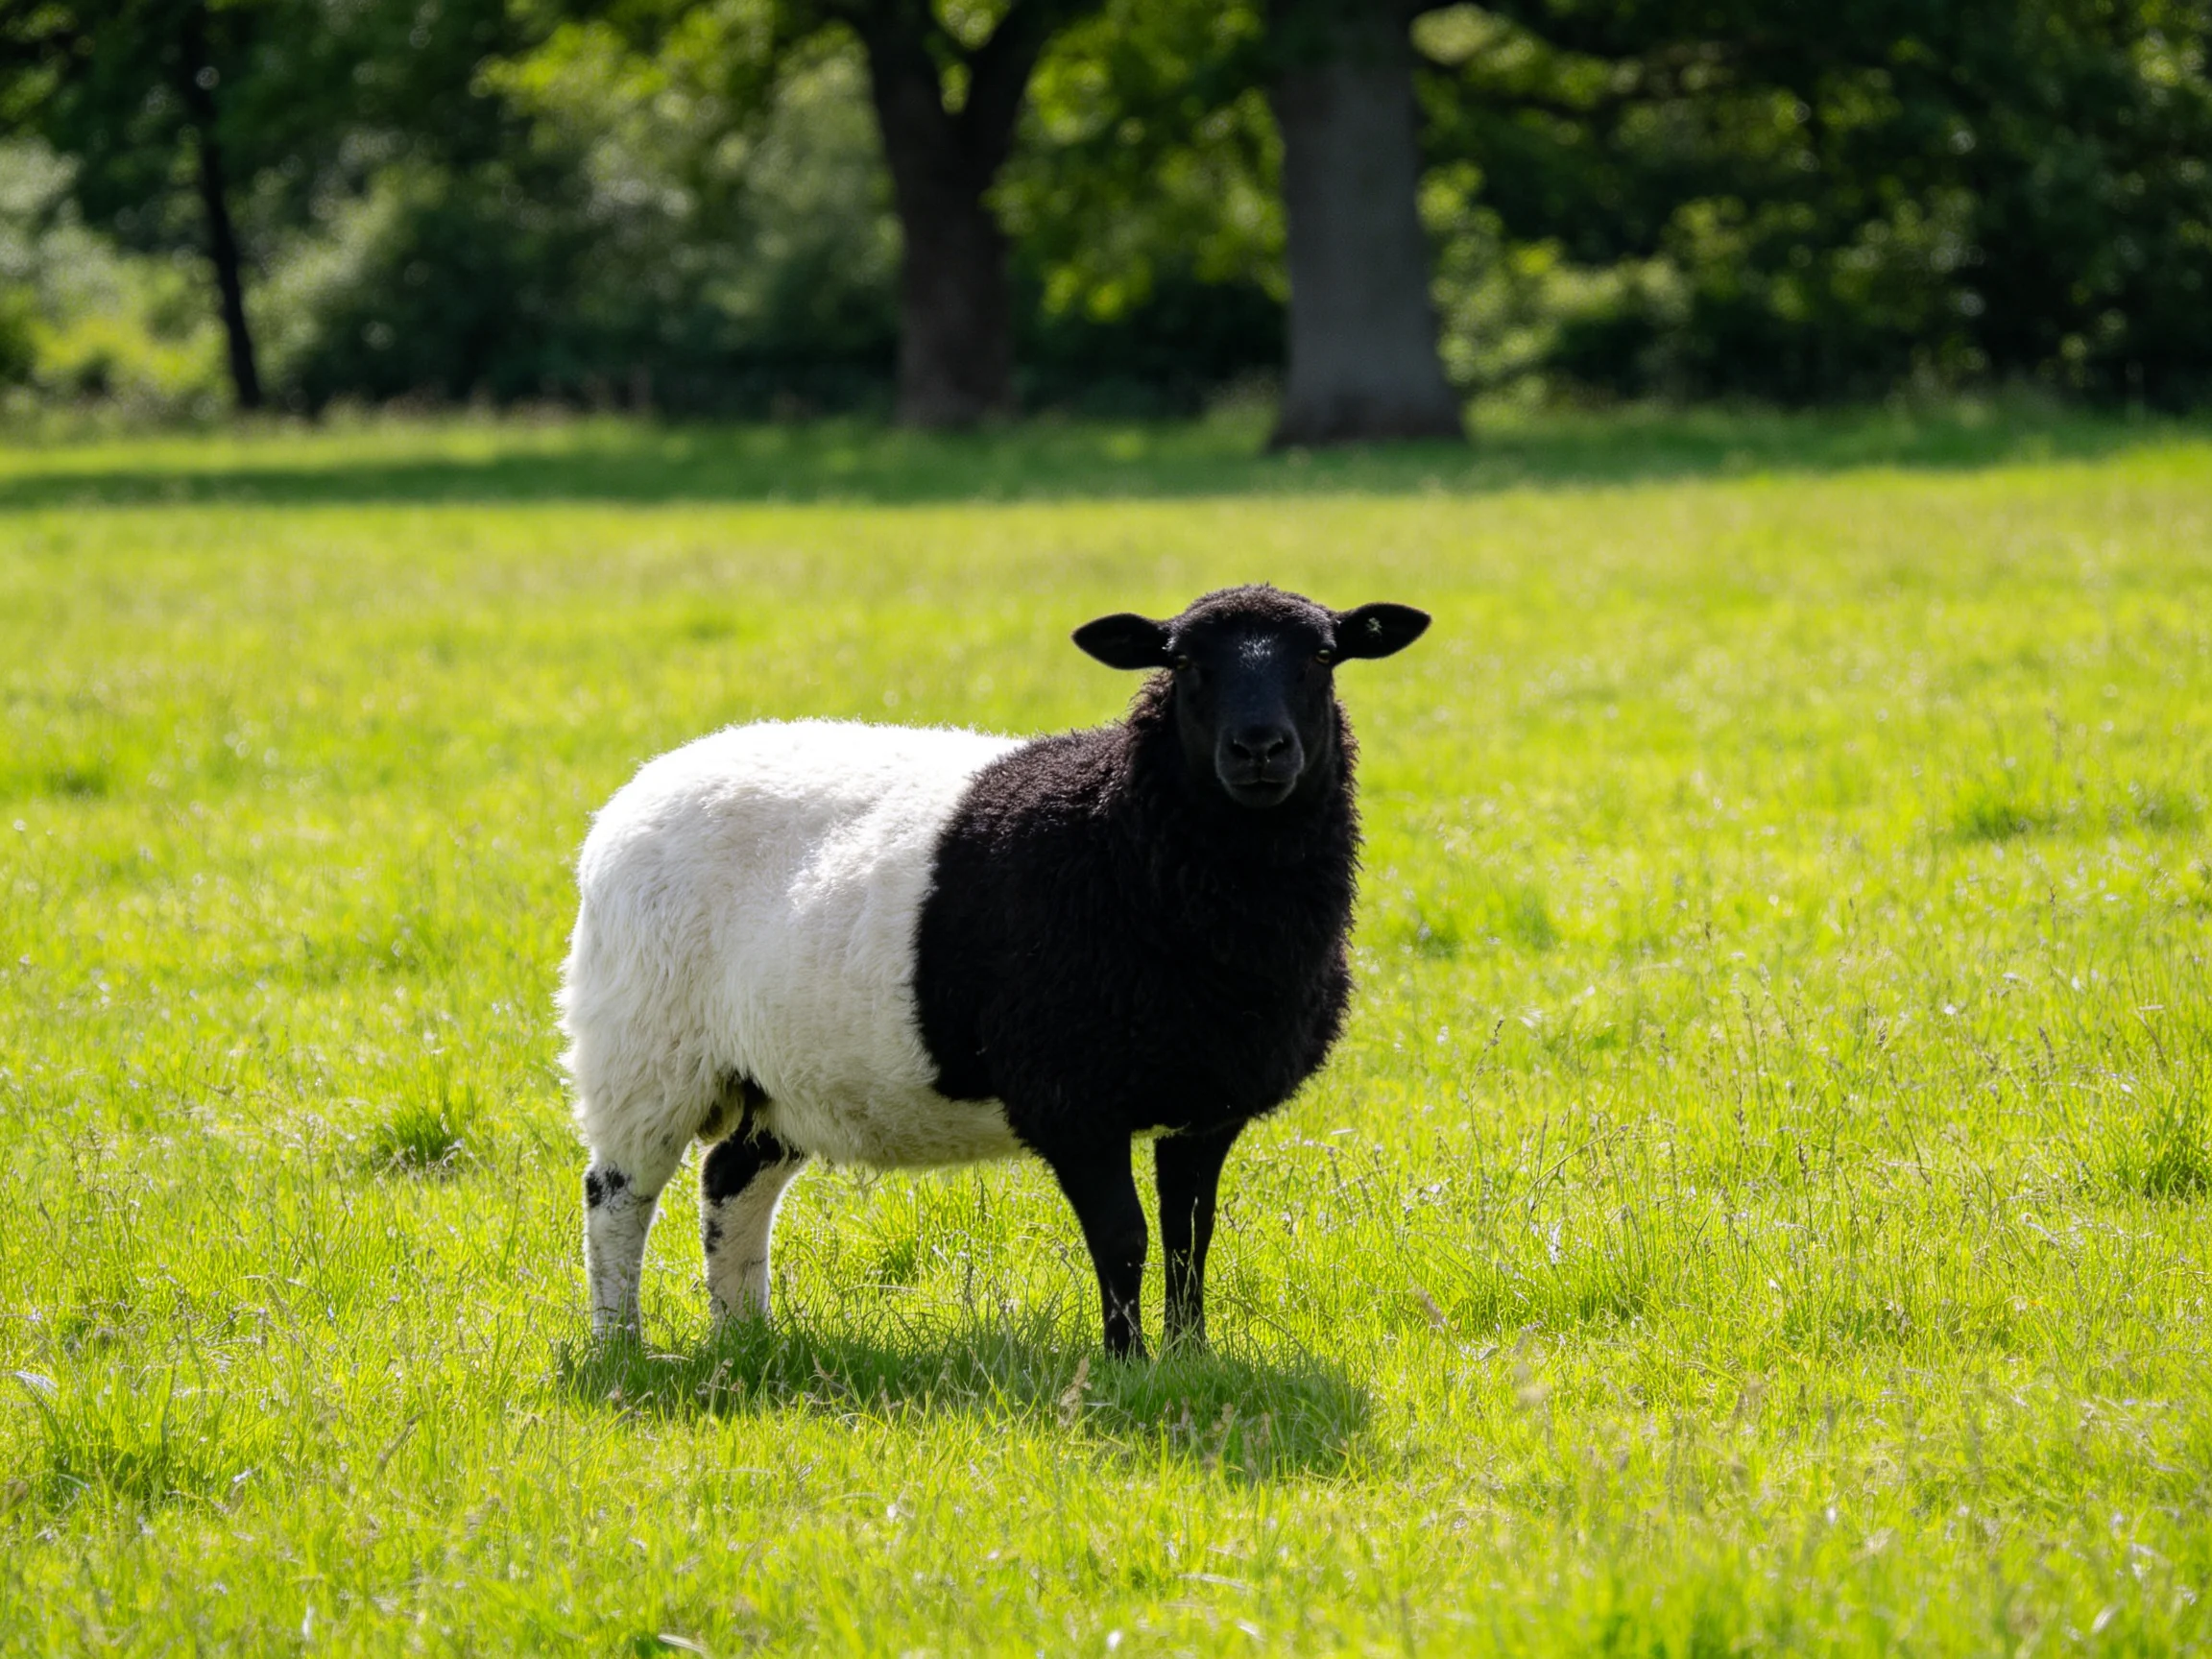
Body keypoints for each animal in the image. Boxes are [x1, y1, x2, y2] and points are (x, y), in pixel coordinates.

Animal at [560, 584, 1429, 1356]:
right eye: (1184, 662)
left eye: (1323, 656)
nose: (1259, 750)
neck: (1124, 836)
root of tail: (643, 786)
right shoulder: (1073, 1096)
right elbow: (1124, 1238)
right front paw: (1128, 1366)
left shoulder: (1204, 1101)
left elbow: (1191, 1236)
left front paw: (1191, 1358)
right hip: (642, 1049)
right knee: (617, 1197)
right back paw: (620, 1346)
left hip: (780, 1073)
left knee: (730, 1180)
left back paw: (745, 1338)